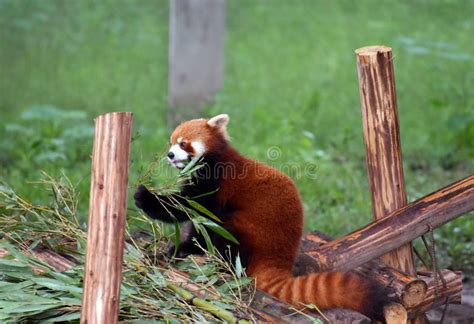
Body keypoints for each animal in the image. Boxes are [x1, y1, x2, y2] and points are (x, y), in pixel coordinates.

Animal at [134, 113, 392, 318]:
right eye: (171, 142)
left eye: (183, 143)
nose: (169, 155)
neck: (213, 159)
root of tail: (278, 256)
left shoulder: (213, 183)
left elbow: (185, 207)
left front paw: (144, 197)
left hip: (248, 227)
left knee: (224, 235)